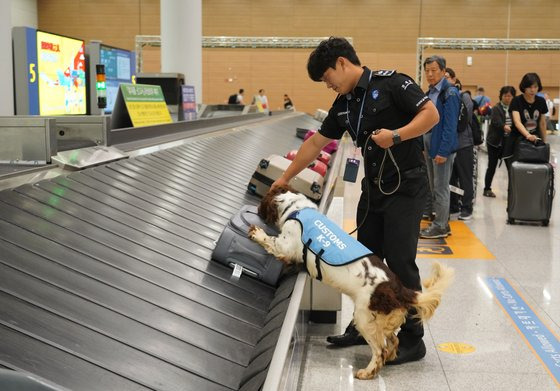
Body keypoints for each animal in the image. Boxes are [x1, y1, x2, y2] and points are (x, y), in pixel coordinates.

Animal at [249, 187, 456, 380]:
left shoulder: (286, 245)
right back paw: (390, 357)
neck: (296, 208)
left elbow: (271, 241)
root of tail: (400, 290)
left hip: (364, 317)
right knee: (393, 341)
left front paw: (256, 232)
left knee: (379, 350)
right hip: (381, 320)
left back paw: (367, 372)